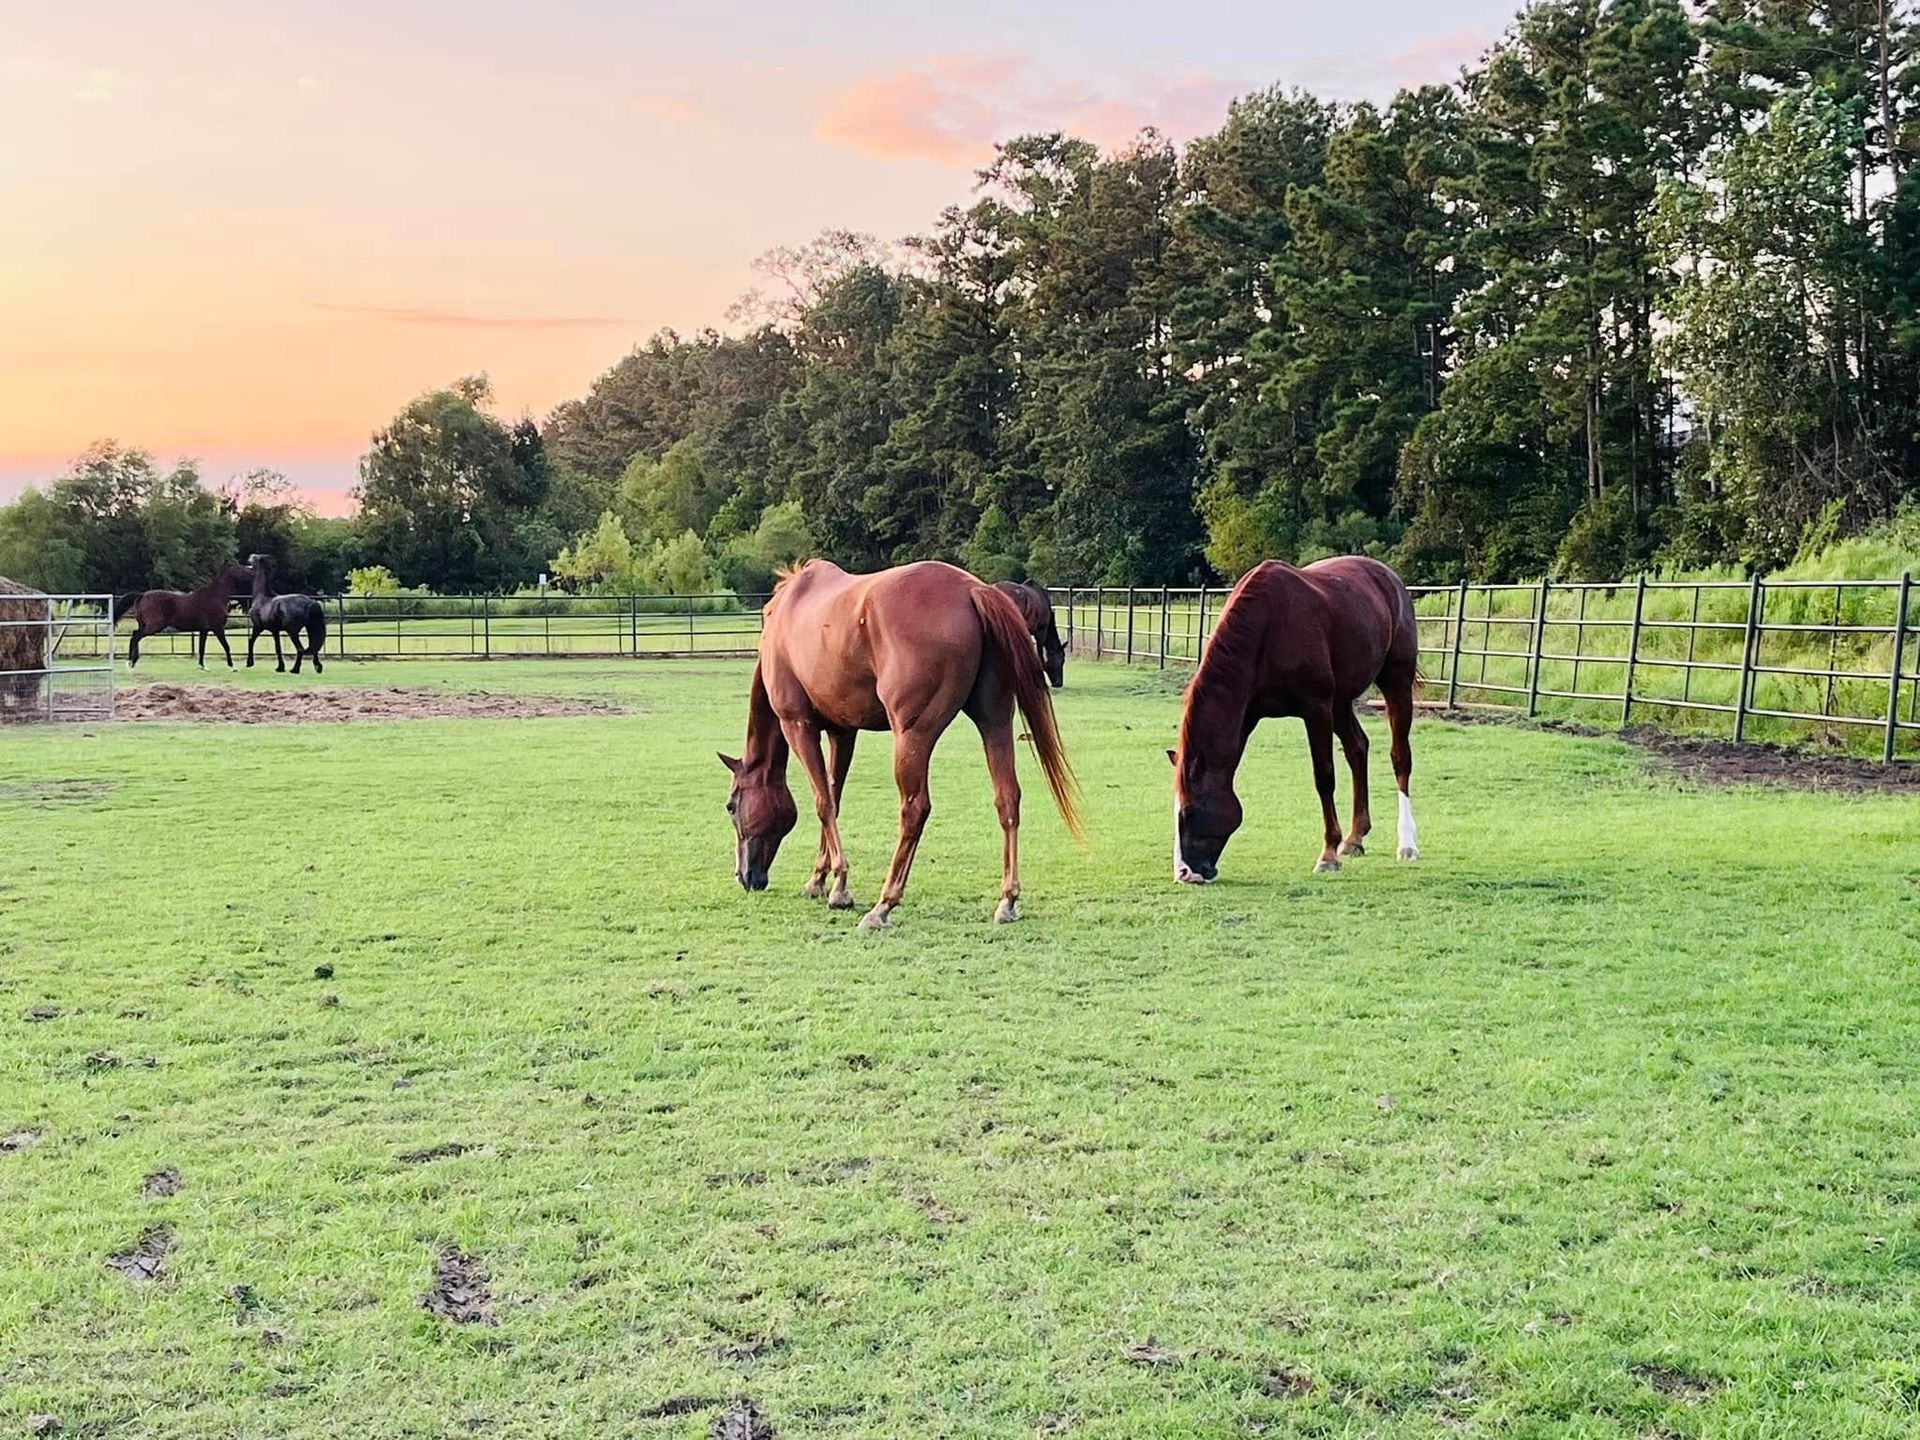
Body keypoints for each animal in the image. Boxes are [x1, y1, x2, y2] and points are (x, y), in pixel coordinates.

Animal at [119, 561, 254, 669]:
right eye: (241, 568)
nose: (251, 572)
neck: (216, 597)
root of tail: (142, 595)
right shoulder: (218, 628)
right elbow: (226, 646)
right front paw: (232, 667)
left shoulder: (204, 630)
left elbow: (201, 648)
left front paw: (202, 666)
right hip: (153, 626)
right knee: (136, 637)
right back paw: (131, 662)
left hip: (145, 625)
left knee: (134, 635)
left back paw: (131, 662)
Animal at [723, 559, 1083, 930]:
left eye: (731, 806)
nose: (745, 877)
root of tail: (973, 590)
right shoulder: (843, 731)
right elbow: (834, 797)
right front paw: (820, 879)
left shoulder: (798, 724)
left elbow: (823, 802)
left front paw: (840, 886)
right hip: (994, 721)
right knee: (1007, 799)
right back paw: (1007, 900)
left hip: (912, 736)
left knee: (914, 810)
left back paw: (884, 905)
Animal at [1171, 557, 1420, 883]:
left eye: (1190, 811)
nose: (1185, 873)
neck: (1269, 626)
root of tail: (1389, 577)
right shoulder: (1248, 715)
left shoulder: (1316, 708)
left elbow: (1324, 777)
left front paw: (1327, 855)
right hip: (1341, 701)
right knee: (1357, 749)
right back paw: (1355, 838)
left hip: (1395, 682)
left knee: (1400, 757)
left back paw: (1407, 844)